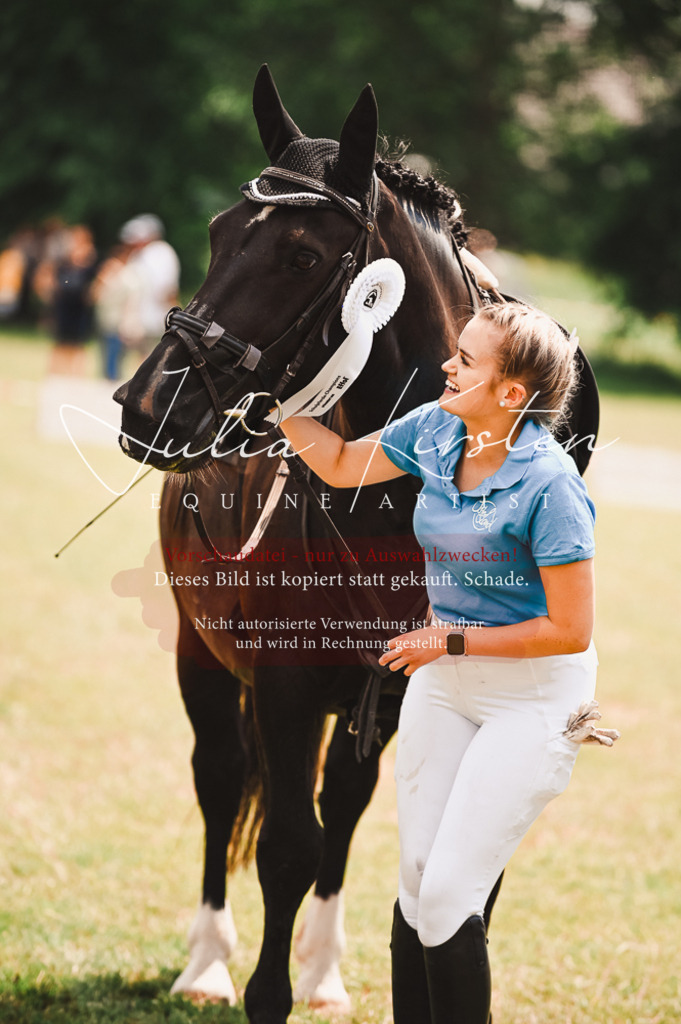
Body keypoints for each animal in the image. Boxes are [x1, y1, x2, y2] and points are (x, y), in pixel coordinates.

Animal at [114, 65, 598, 1024]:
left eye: (301, 256)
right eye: (219, 233)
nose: (149, 405)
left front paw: (315, 970)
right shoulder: (284, 684)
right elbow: (284, 849)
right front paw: (260, 988)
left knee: (344, 800)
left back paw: (325, 967)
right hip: (200, 652)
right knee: (220, 778)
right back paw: (207, 960)